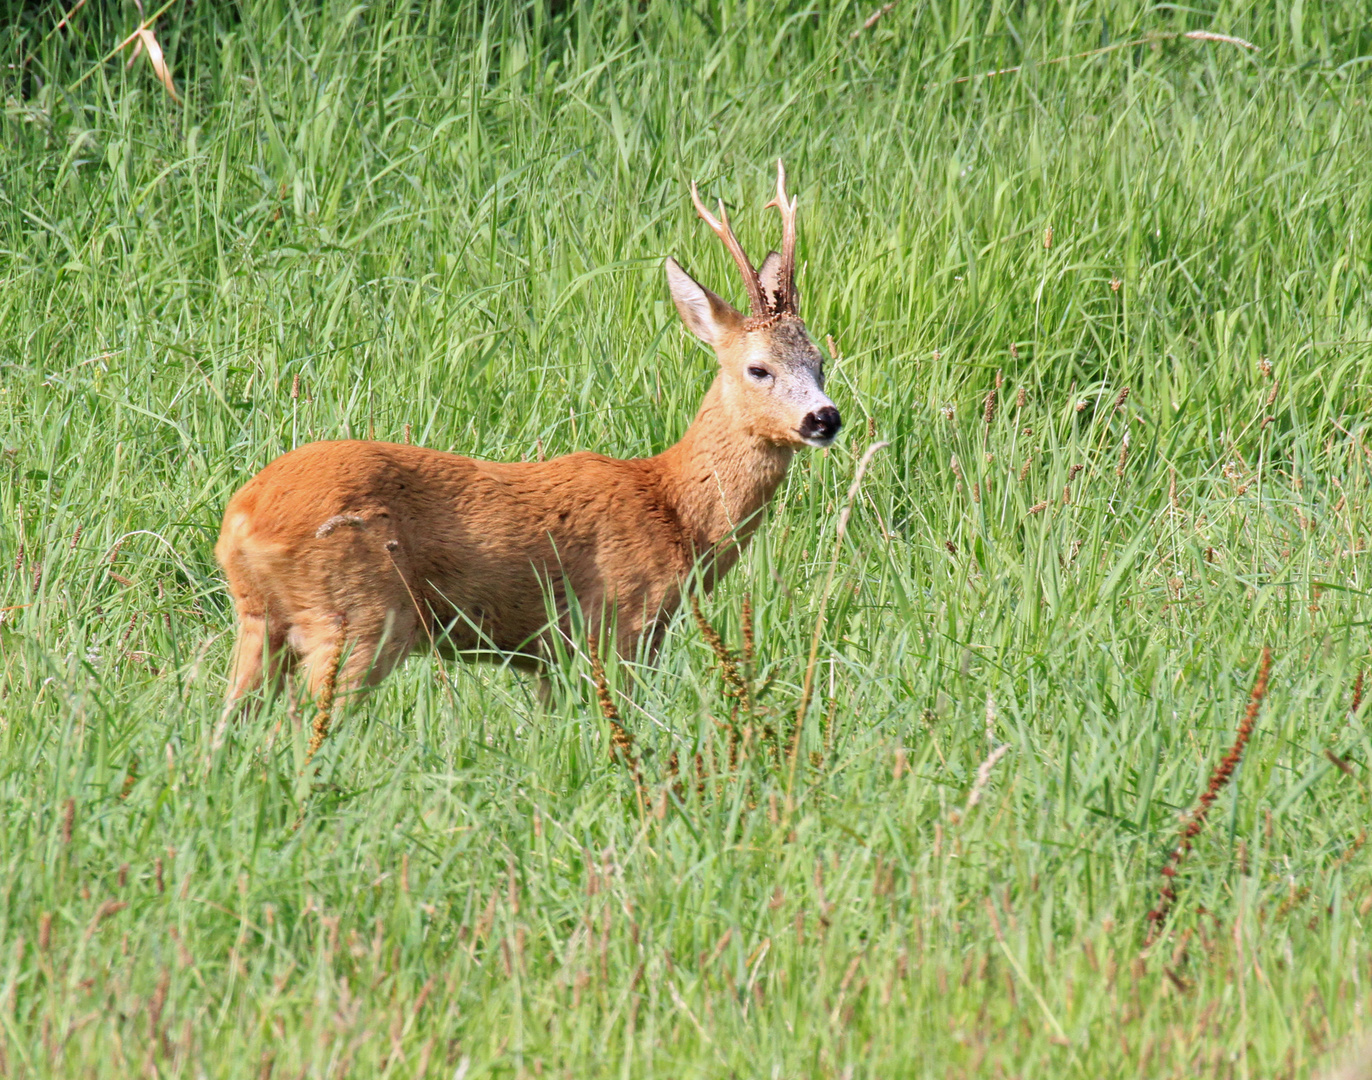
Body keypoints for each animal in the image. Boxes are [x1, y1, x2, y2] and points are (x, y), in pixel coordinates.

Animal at [214, 160, 834, 719]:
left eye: (821, 361)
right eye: (758, 369)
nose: (825, 419)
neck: (675, 508)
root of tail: (241, 518)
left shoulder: (551, 659)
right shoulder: (622, 623)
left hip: (262, 621)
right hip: (360, 616)